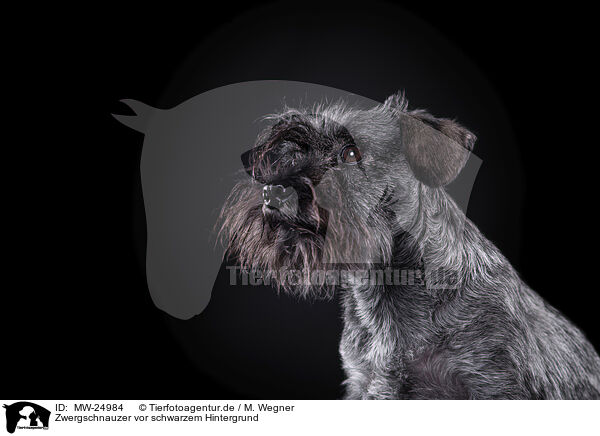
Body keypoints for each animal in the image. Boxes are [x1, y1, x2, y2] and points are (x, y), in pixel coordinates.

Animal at [219, 93, 600, 400]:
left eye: (351, 153)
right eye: (290, 154)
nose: (275, 191)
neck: (389, 282)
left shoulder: (492, 384)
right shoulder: (366, 384)